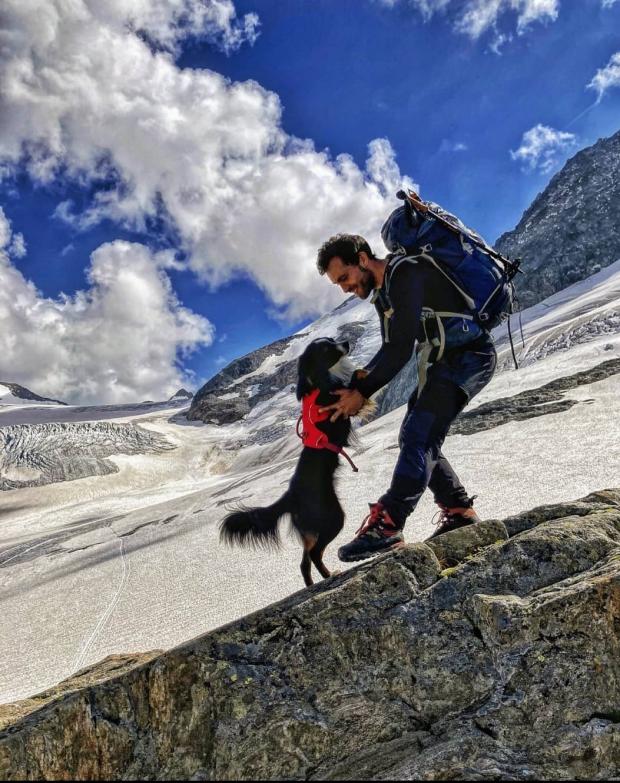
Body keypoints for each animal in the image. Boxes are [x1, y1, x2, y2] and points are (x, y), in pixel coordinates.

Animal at [219, 336, 354, 588]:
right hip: (332, 517)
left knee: (304, 562)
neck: (317, 385)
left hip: (310, 530)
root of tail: (290, 496)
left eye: (332, 340)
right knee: (314, 554)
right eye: (327, 348)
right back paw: (330, 576)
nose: (347, 343)